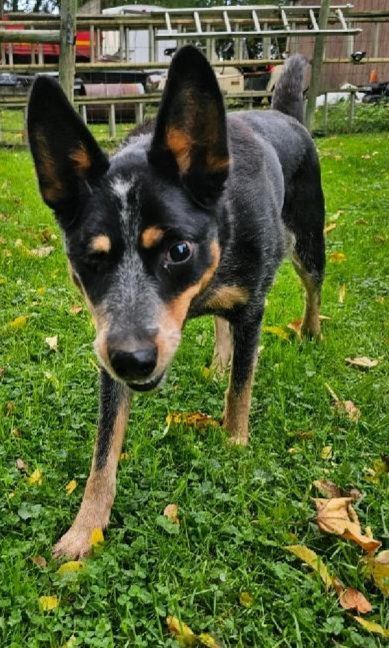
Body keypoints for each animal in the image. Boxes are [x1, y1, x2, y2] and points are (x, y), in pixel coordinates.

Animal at [28, 45, 324, 556]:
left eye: (179, 250)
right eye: (90, 259)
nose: (133, 360)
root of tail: (285, 113)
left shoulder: (253, 310)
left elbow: (240, 392)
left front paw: (234, 447)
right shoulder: (109, 344)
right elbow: (103, 450)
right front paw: (84, 529)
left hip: (307, 243)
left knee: (312, 286)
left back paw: (311, 331)